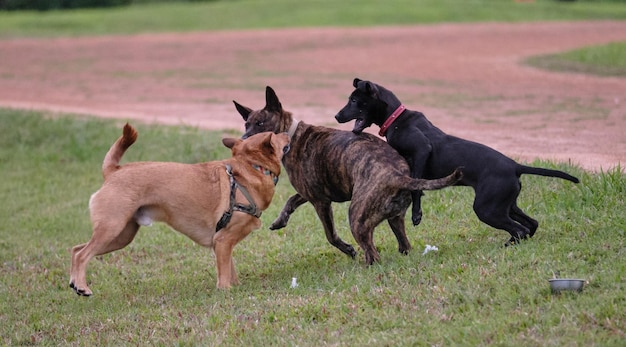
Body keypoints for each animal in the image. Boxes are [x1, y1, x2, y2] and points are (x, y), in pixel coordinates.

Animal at [69, 123, 290, 294]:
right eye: (276, 134)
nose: (288, 132)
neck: (249, 168)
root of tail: (113, 171)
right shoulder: (223, 240)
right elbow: (225, 273)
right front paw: (225, 290)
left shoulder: (222, 242)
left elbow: (228, 268)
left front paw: (234, 285)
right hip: (112, 228)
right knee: (82, 255)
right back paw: (82, 286)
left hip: (121, 236)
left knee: (75, 249)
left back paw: (74, 282)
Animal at [334, 79, 576, 247]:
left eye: (354, 101)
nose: (336, 116)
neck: (396, 118)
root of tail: (516, 166)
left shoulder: (422, 150)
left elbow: (416, 186)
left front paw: (416, 215)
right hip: (506, 204)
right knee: (531, 224)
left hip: (487, 208)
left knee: (520, 229)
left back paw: (508, 245)